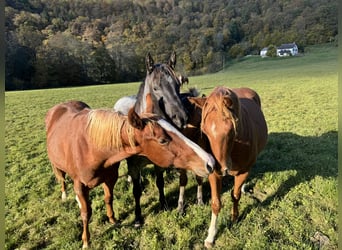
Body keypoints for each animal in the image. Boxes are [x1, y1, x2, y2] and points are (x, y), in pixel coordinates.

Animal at [44, 100, 214, 248]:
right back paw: (65, 195)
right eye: (162, 140)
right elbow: (86, 213)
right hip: (57, 167)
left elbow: (108, 198)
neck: (91, 148)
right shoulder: (80, 186)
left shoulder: (110, 178)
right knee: (62, 180)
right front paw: (86, 241)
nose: (210, 162)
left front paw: (112, 219)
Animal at [190, 87, 268, 247]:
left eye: (231, 130)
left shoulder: (243, 171)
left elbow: (235, 195)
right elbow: (216, 203)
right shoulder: (214, 174)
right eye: (204, 131)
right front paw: (211, 236)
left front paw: (234, 217)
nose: (219, 168)